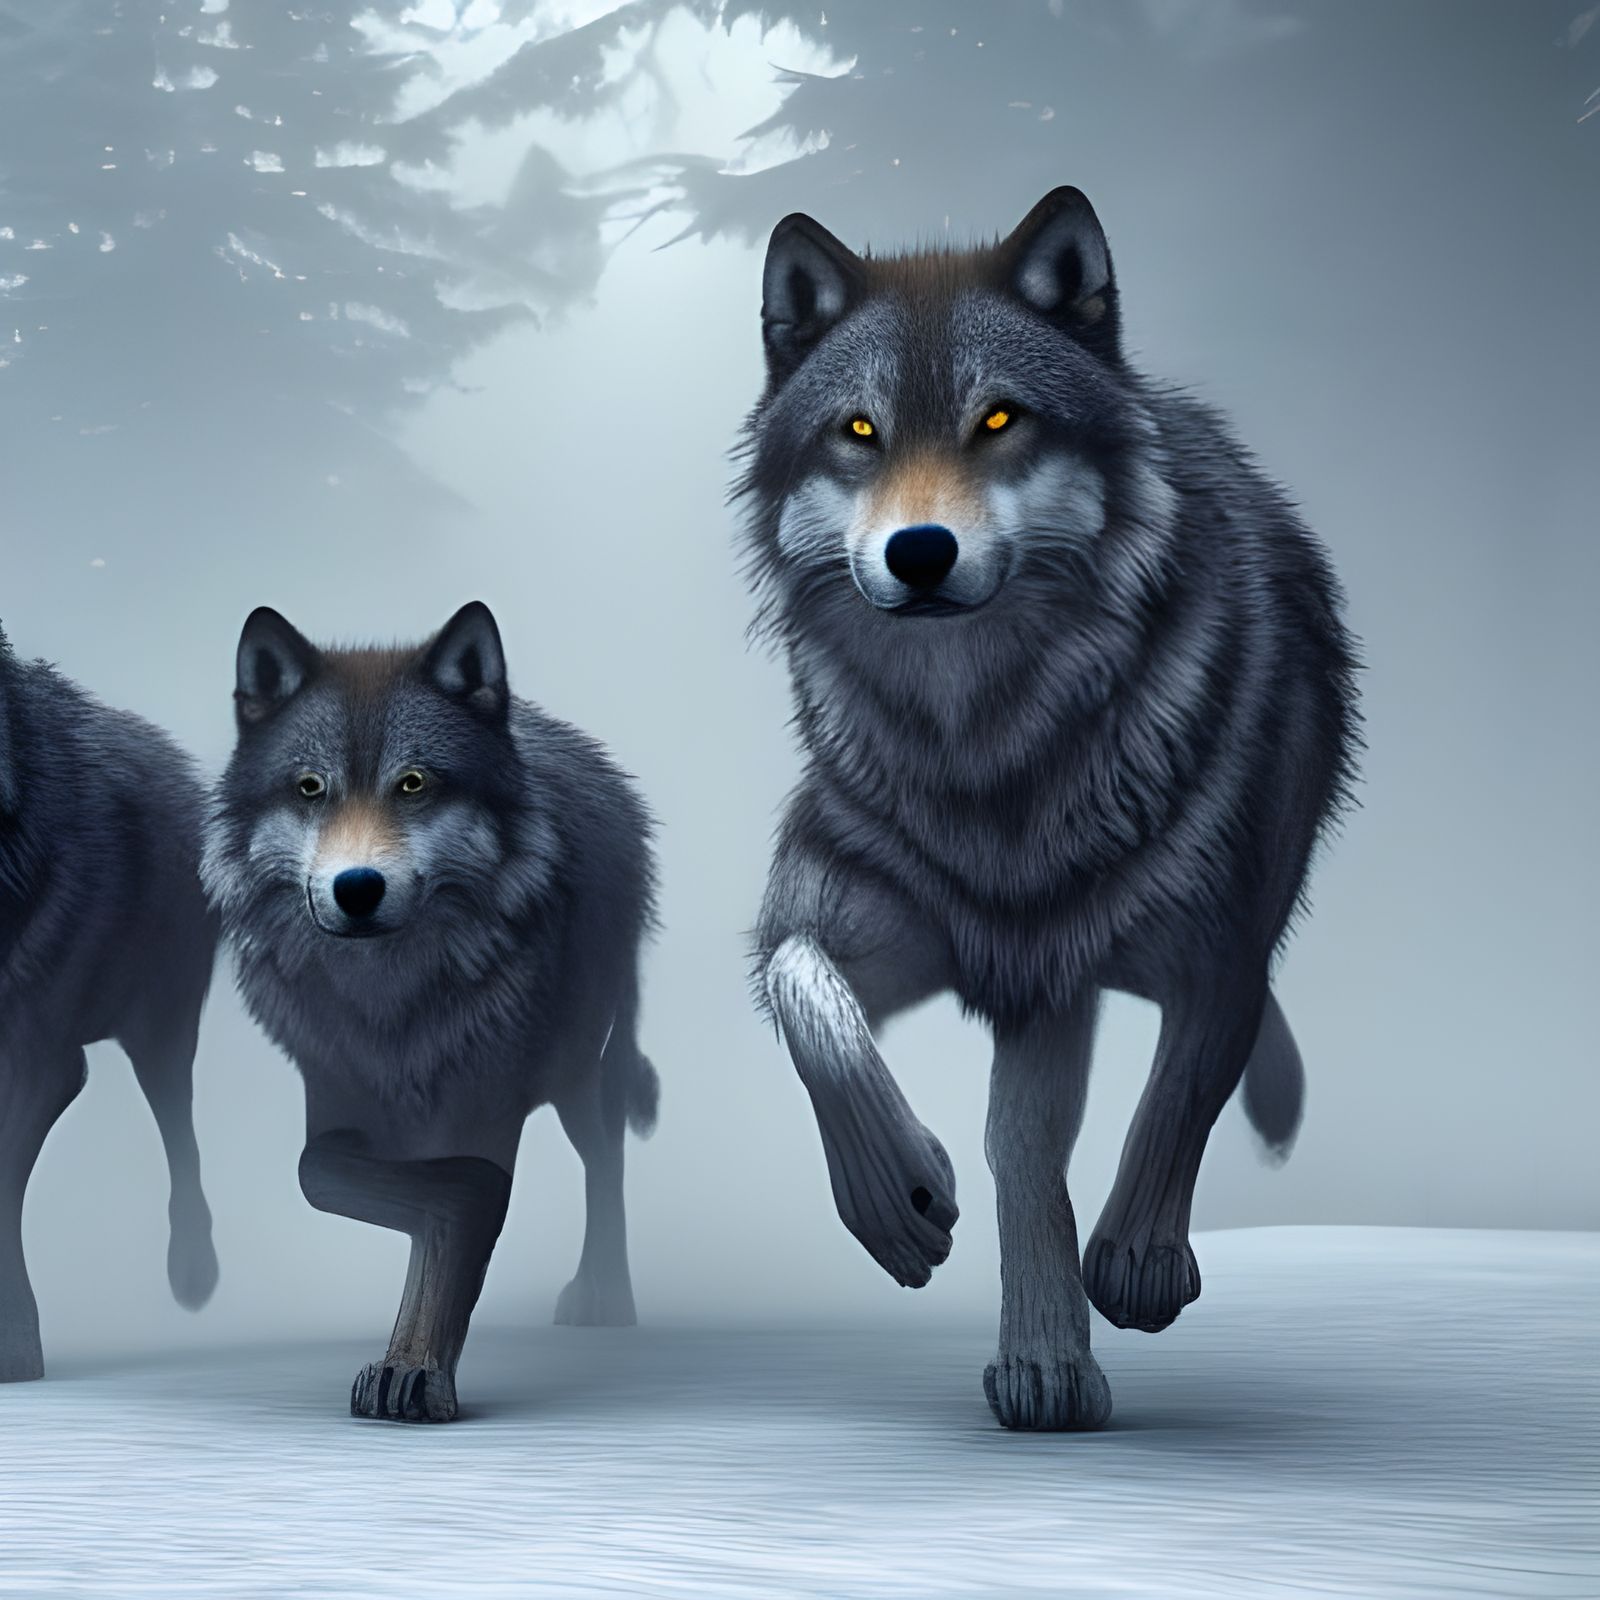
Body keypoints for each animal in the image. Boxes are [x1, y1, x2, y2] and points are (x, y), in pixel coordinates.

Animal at [203, 600, 658, 1423]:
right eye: (310, 787)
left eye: (413, 784)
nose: (357, 888)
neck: (392, 1000)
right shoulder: (333, 1090)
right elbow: (331, 1176)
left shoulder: (486, 1109)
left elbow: (461, 1211)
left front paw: (415, 1368)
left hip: (576, 1070)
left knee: (605, 1157)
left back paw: (605, 1296)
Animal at [737, 187, 1359, 1430]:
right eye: (859, 431)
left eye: (999, 420)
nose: (920, 552)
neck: (986, 751)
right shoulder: (841, 919)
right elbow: (804, 991)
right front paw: (896, 1193)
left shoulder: (1218, 949)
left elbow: (1182, 1090)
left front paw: (1137, 1259)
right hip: (1040, 991)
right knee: (1020, 1144)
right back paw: (1042, 1360)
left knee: (1043, 1138)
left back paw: (1060, 1340)